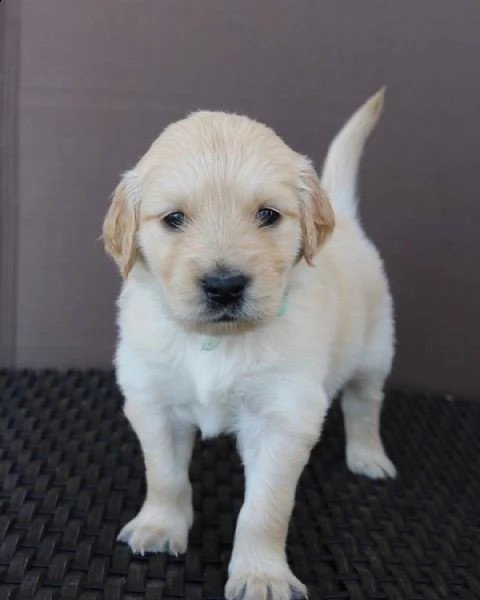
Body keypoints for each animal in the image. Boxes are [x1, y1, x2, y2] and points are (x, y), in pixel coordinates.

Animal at [103, 89, 396, 600]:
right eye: (174, 218)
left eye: (268, 215)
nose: (224, 286)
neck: (218, 341)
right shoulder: (152, 399)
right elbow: (164, 475)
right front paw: (160, 527)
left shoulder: (282, 416)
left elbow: (264, 509)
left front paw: (262, 575)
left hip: (376, 348)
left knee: (364, 403)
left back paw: (368, 457)